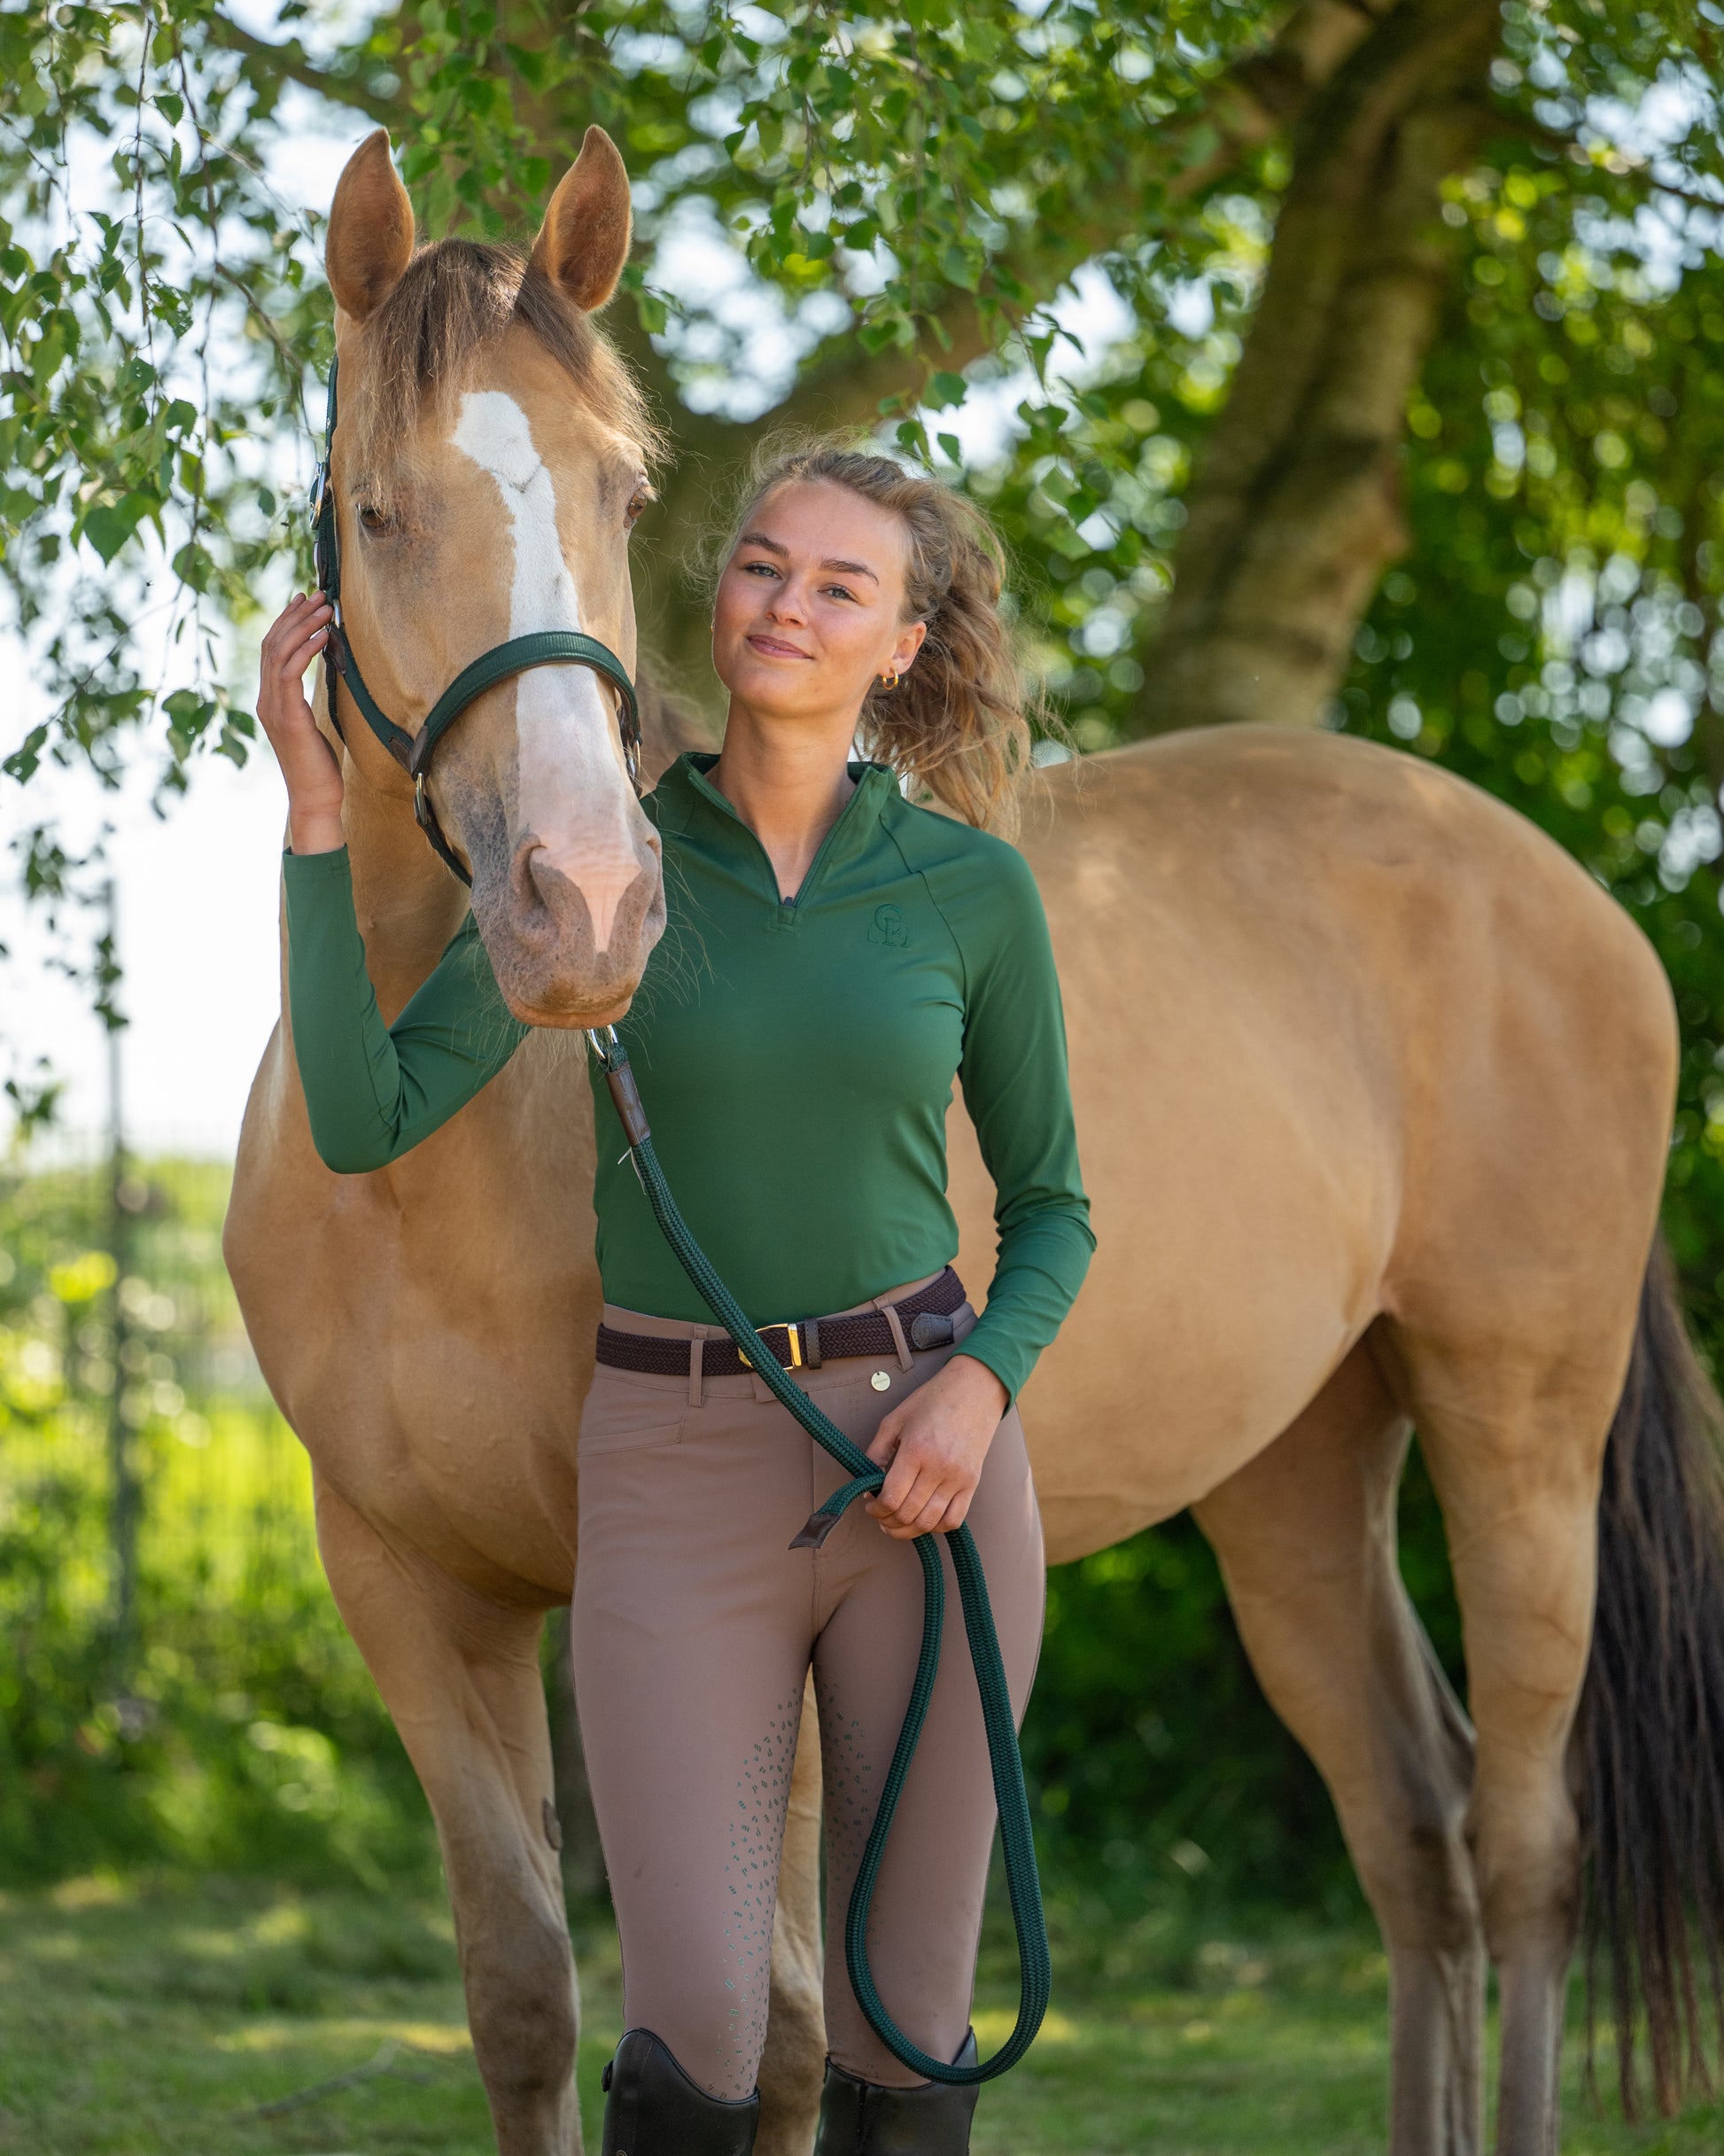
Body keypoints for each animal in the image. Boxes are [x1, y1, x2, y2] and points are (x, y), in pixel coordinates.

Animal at [225, 126, 1724, 2156]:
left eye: (623, 489)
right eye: (376, 511)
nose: (586, 905)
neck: (435, 1158)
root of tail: (1563, 893)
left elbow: (779, 2035)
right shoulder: (408, 1589)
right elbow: (526, 2003)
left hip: (1521, 1432)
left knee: (1523, 1848)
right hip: (1299, 1468)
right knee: (1416, 1842)